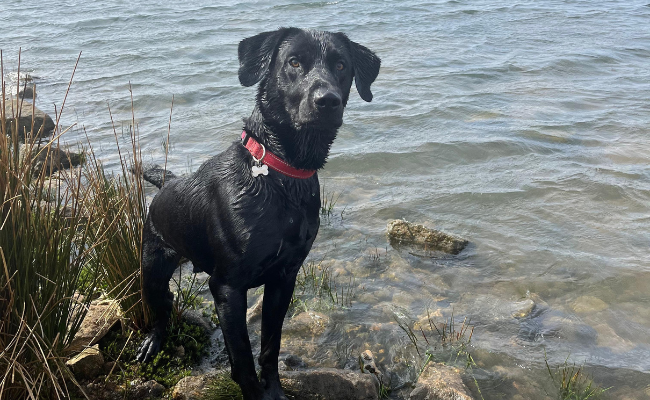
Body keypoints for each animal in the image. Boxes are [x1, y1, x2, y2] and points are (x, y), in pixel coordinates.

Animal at [138, 28, 380, 400]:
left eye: (341, 65)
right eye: (293, 62)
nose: (327, 100)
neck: (283, 175)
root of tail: (168, 183)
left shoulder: (284, 278)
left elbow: (270, 346)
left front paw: (275, 390)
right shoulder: (227, 288)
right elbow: (242, 361)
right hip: (150, 267)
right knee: (160, 309)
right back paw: (153, 342)